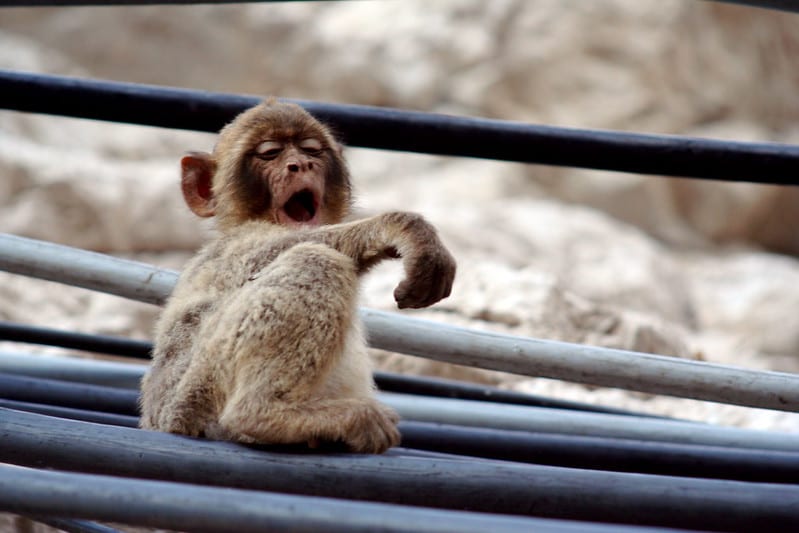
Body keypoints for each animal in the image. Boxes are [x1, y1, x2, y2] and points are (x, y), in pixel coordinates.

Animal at [139, 99, 456, 454]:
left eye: (311, 150)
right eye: (270, 153)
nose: (300, 165)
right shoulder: (233, 247)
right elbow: (274, 253)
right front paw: (401, 228)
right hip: (198, 396)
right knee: (316, 260)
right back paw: (263, 413)